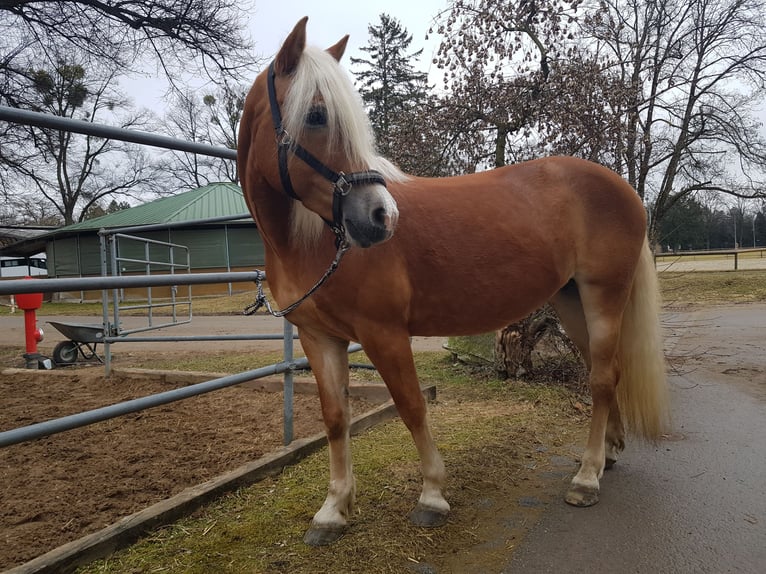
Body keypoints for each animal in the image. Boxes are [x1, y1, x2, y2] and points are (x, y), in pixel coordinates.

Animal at [237, 16, 668, 548]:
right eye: (316, 115)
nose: (380, 217)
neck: (311, 242)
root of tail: (623, 188)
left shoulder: (383, 334)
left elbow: (412, 406)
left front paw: (432, 496)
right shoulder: (319, 338)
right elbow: (336, 419)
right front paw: (333, 510)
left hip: (603, 294)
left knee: (603, 378)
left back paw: (586, 478)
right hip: (571, 300)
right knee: (603, 372)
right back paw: (606, 455)